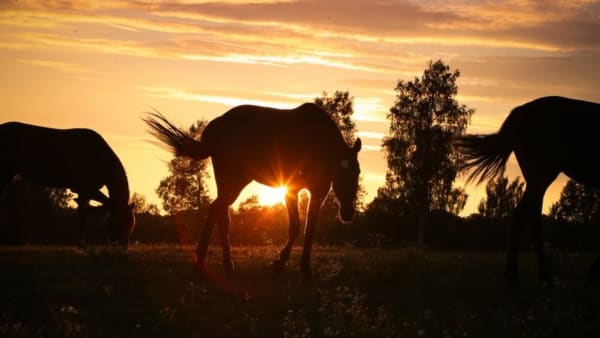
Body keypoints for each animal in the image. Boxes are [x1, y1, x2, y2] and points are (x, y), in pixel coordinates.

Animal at [0, 121, 136, 248]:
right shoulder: (84, 188)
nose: (123, 248)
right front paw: (81, 245)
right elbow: (83, 213)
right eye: (118, 223)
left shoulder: (87, 189)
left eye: (132, 224)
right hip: (6, 171)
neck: (100, 158)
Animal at [144, 102, 360, 280]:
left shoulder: (317, 191)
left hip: (230, 182)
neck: (317, 143)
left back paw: (227, 266)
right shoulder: (291, 188)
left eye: (357, 172)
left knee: (220, 214)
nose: (348, 213)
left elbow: (309, 230)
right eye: (340, 173)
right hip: (235, 180)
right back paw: (202, 265)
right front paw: (280, 263)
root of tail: (216, 127)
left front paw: (305, 269)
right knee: (216, 210)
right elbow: (295, 227)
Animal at [454, 96, 600, 284]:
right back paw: (539, 275)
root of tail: (519, 112)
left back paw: (516, 274)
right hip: (541, 175)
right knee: (529, 215)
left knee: (525, 214)